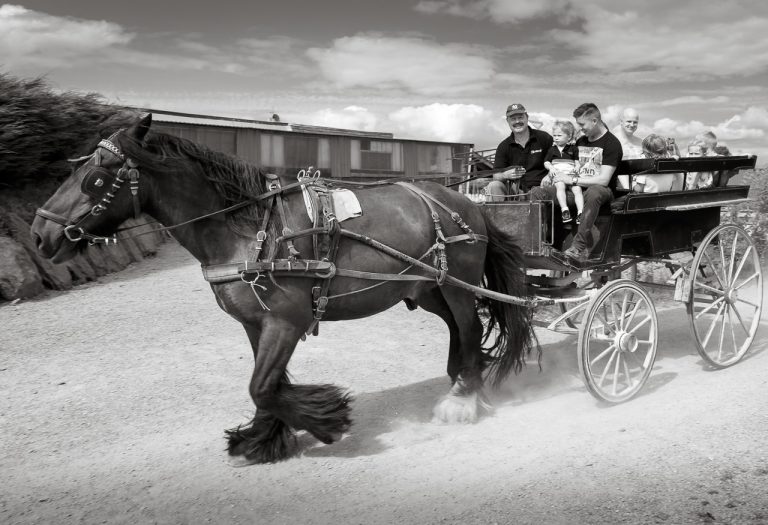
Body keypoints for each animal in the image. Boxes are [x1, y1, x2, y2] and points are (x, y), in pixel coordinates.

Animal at [31, 114, 536, 464]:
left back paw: (463, 398)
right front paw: (264, 437)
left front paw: (325, 419)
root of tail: (461, 201)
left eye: (94, 177)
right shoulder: (256, 324)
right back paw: (460, 379)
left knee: (470, 329)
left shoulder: (286, 321)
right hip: (427, 289)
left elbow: (262, 385)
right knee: (458, 331)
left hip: (458, 286)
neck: (248, 228)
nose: (40, 234)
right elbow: (267, 384)